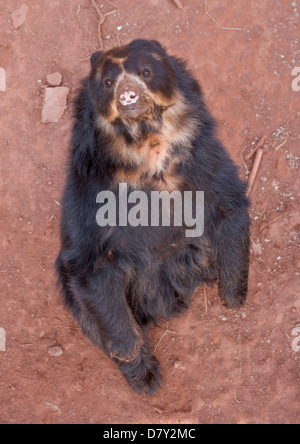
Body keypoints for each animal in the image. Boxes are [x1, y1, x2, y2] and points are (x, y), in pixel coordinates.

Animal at [55, 39, 250, 396]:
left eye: (145, 72)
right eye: (107, 82)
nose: (127, 94)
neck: (148, 146)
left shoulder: (203, 159)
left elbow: (228, 205)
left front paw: (232, 296)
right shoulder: (89, 195)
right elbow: (91, 269)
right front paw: (133, 357)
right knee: (90, 316)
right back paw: (144, 376)